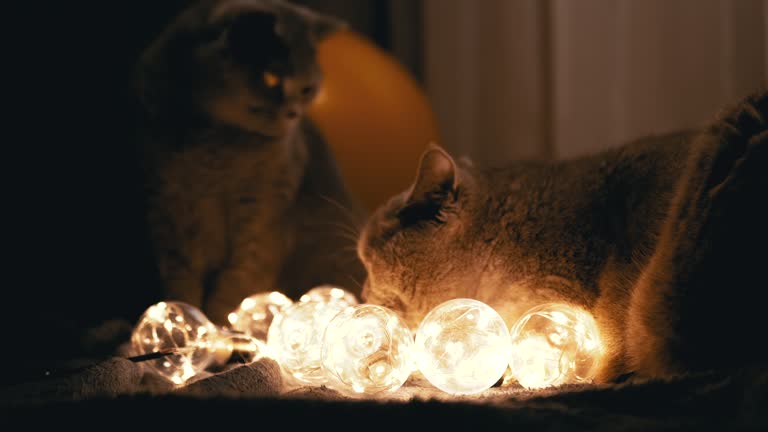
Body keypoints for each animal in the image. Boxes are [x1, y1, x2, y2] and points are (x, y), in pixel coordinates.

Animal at [134, 0, 364, 324]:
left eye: (307, 89)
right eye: (271, 78)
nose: (293, 112)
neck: (214, 144)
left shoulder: (263, 215)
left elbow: (236, 280)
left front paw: (218, 325)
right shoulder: (166, 210)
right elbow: (181, 284)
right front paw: (182, 318)